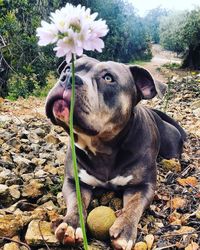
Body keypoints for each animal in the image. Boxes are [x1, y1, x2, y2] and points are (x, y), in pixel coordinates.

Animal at [45, 55, 186, 249]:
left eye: (108, 78)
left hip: (171, 149)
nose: (68, 79)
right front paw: (72, 224)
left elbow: (133, 207)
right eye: (67, 68)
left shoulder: (142, 186)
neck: (103, 149)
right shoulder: (74, 182)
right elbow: (77, 203)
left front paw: (124, 230)